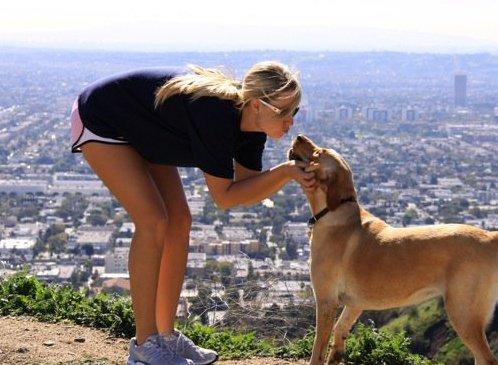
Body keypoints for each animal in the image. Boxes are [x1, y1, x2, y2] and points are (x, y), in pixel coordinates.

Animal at [288, 134, 498, 364]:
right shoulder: (354, 304)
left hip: (463, 314)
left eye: (318, 153)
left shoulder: (326, 300)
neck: (336, 210)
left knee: (487, 358)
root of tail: (489, 237)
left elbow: (318, 346)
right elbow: (340, 328)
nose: (298, 135)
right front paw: (336, 356)